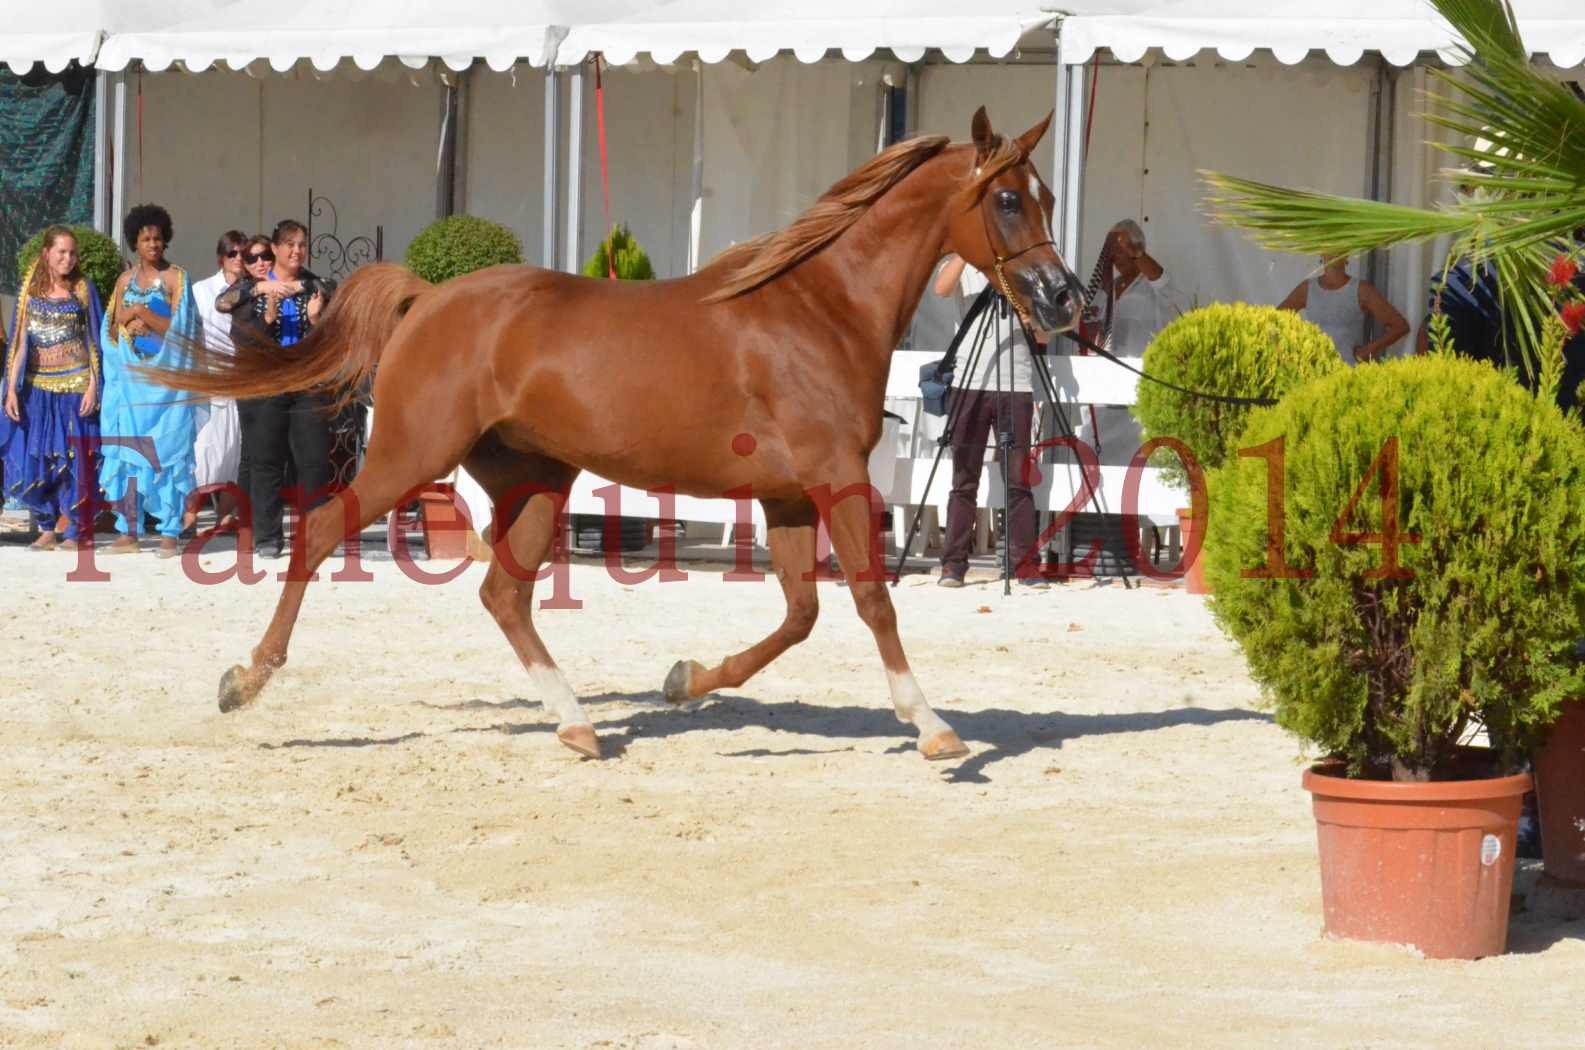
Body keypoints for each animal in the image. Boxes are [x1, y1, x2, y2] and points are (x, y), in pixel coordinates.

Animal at [154, 107, 1084, 761]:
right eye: (1008, 198)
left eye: (1041, 197)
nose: (1063, 298)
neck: (819, 309)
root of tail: (428, 297)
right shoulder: (834, 477)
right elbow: (870, 600)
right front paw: (932, 727)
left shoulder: (786, 494)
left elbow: (799, 614)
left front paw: (686, 680)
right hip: (413, 456)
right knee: (317, 534)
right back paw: (245, 679)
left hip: (534, 477)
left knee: (503, 595)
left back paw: (576, 726)